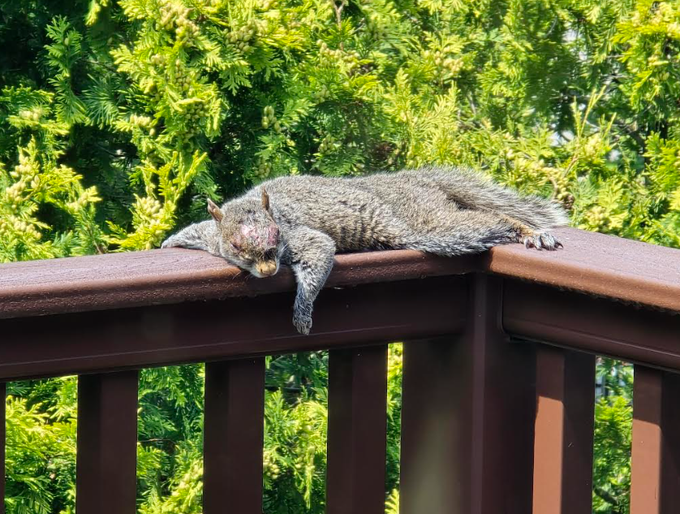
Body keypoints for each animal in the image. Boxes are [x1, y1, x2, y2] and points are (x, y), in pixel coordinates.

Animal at [162, 166, 567, 335]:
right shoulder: (211, 234)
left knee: (487, 219)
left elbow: (318, 256)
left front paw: (302, 313)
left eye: (276, 234)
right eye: (235, 244)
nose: (268, 272)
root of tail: (411, 179)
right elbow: (195, 231)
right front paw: (169, 242)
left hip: (426, 225)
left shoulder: (301, 237)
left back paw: (529, 232)